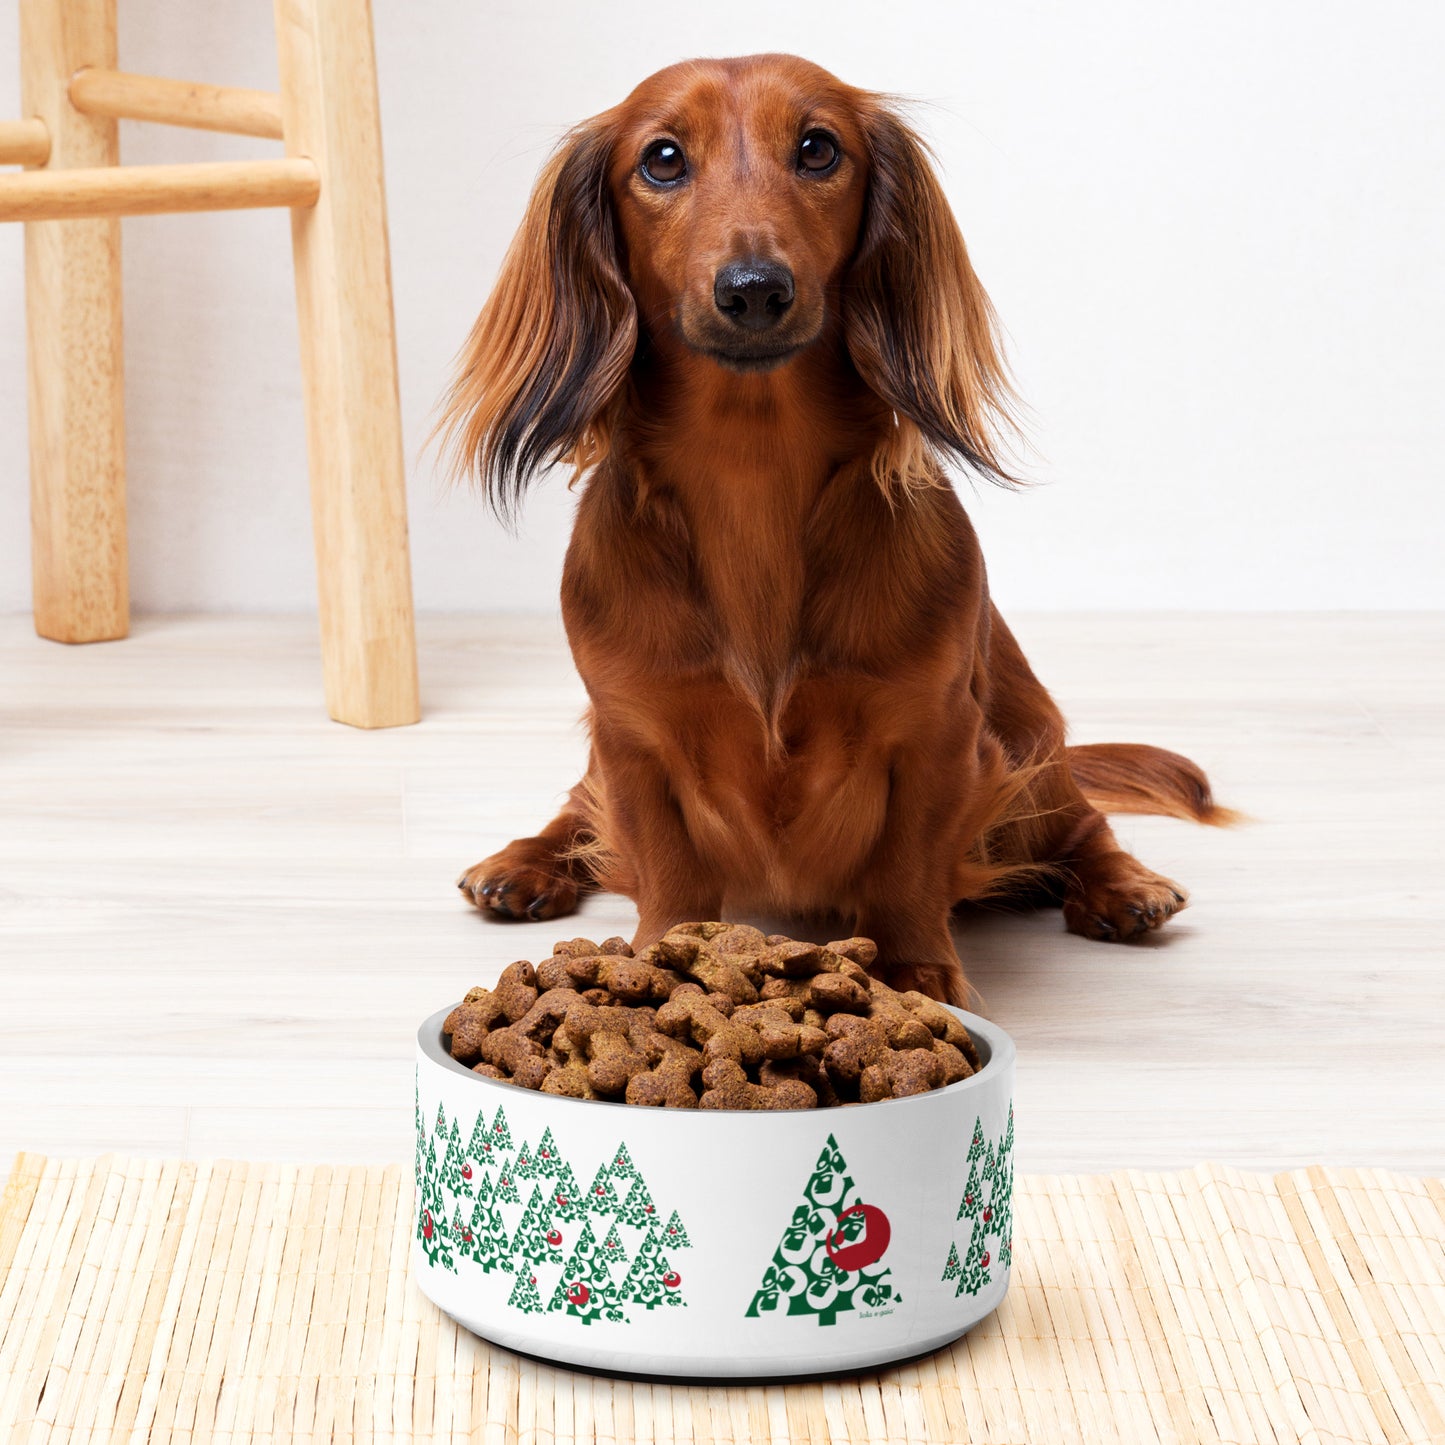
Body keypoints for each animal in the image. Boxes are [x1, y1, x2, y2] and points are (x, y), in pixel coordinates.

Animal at [442, 56, 1231, 1005]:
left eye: (818, 148)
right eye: (661, 159)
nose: (753, 290)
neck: (752, 472)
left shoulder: (936, 733)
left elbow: (905, 866)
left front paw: (916, 971)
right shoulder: (632, 736)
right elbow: (665, 866)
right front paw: (660, 959)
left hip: (1028, 744)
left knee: (1081, 823)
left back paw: (1123, 886)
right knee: (576, 810)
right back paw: (522, 863)